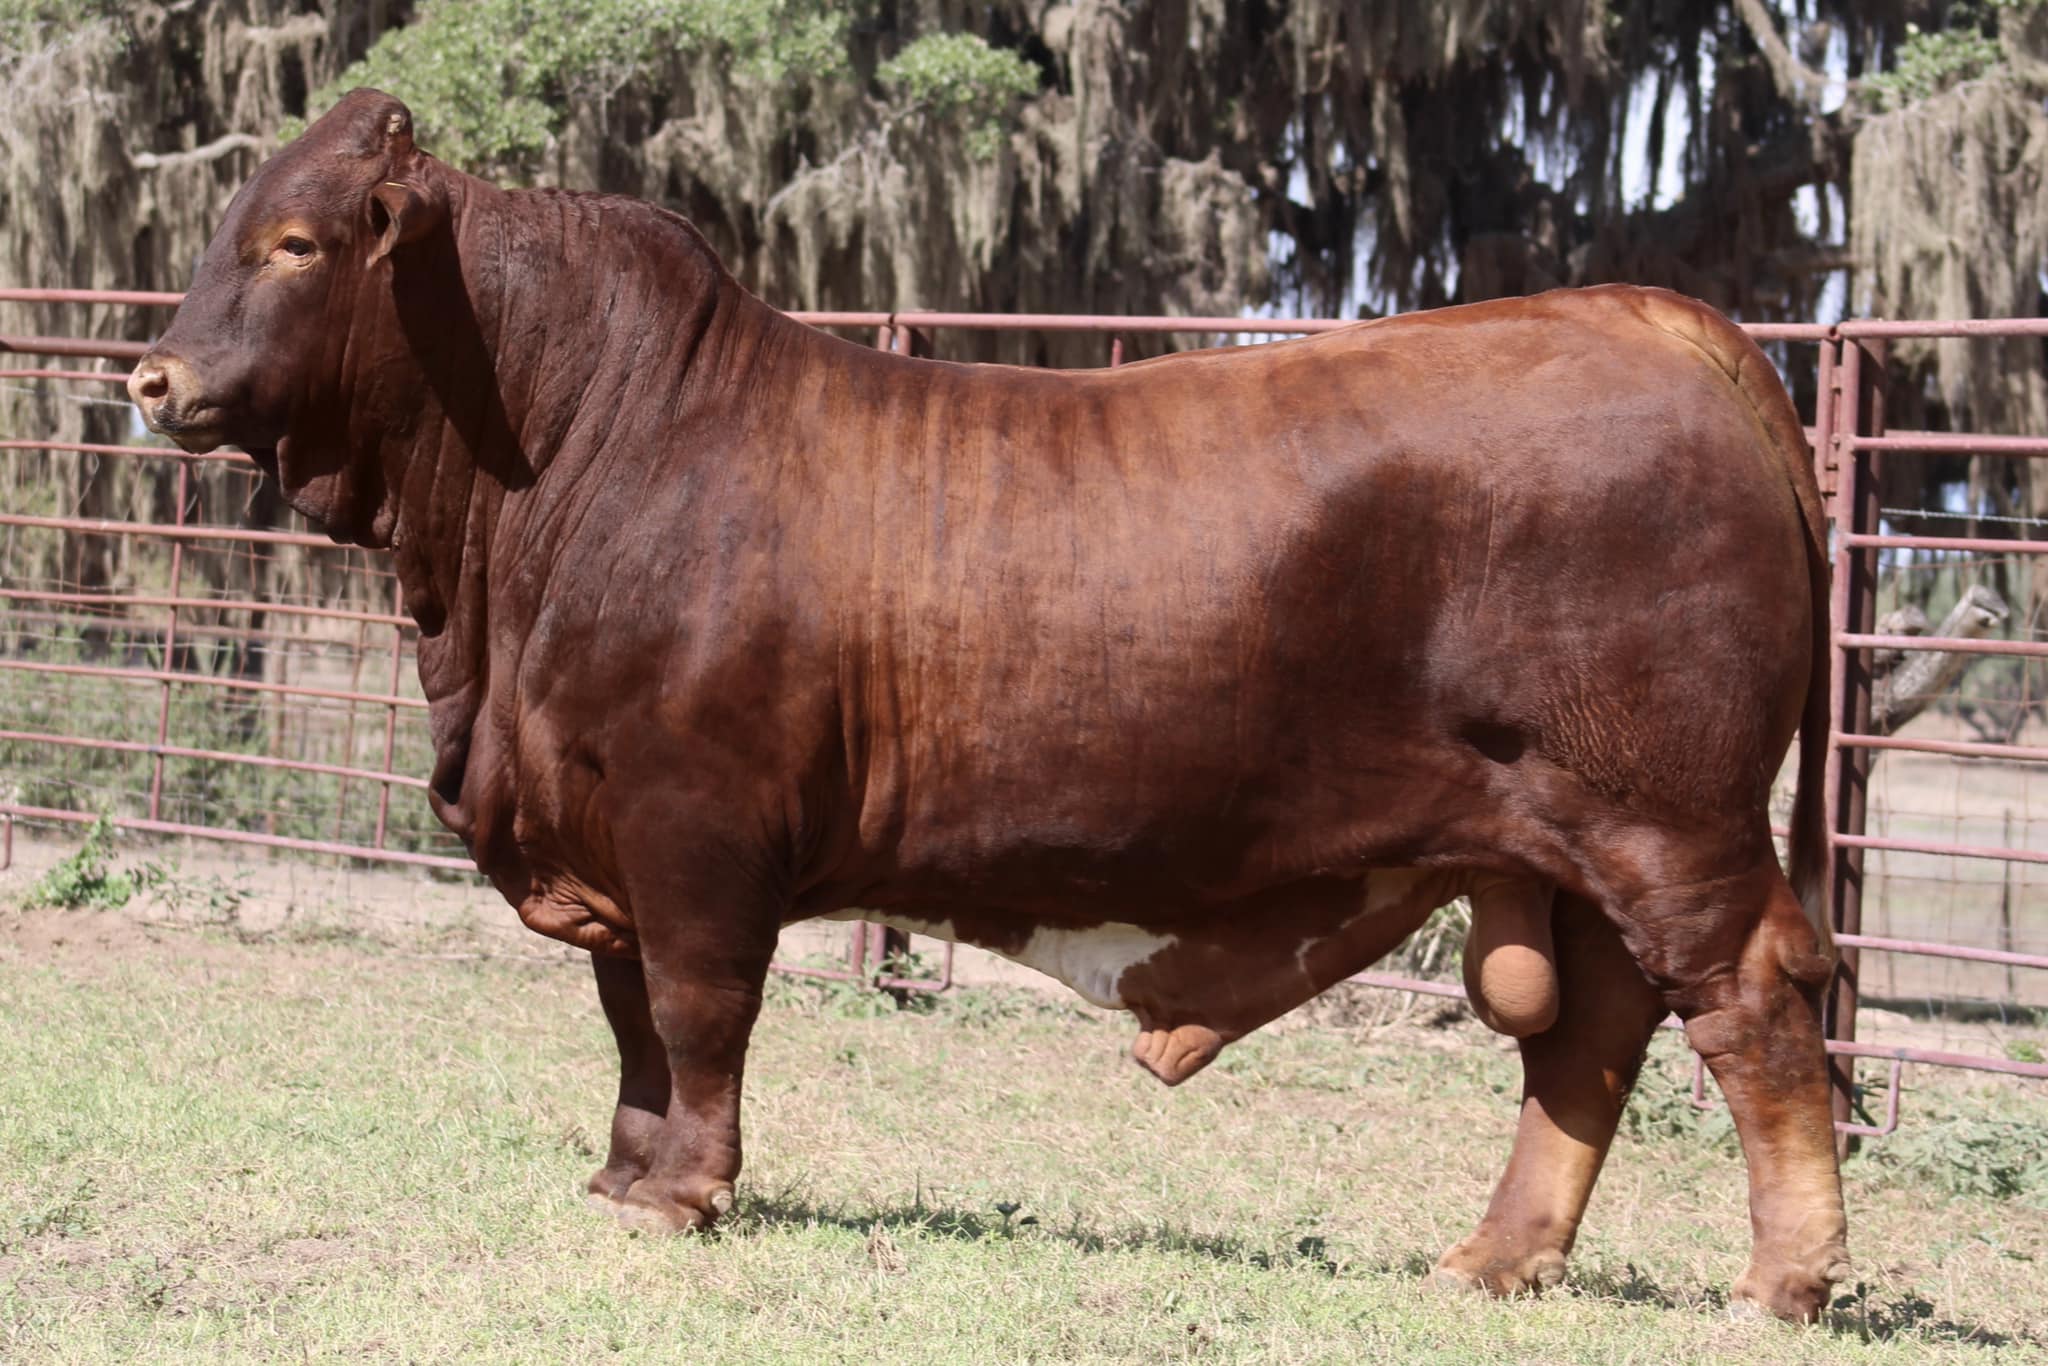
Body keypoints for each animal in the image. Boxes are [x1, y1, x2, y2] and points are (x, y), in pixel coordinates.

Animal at [129, 90, 1848, 1321]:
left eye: (295, 244)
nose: (152, 379)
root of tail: (1650, 318)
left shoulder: (693, 823)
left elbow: (694, 1011)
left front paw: (686, 1191)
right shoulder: (600, 819)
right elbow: (627, 1021)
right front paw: (625, 1179)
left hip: (1669, 821)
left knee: (1751, 1007)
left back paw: (1782, 1280)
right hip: (1580, 842)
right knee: (1596, 1037)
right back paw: (1497, 1259)